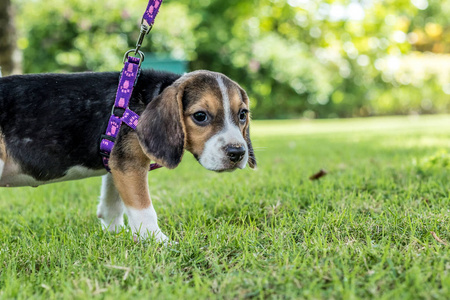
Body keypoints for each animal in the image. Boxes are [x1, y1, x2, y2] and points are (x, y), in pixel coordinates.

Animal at [0, 69, 255, 241]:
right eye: (200, 116)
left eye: (242, 114)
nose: (237, 153)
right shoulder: (130, 164)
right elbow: (144, 209)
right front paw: (160, 243)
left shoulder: (117, 162)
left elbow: (113, 203)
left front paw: (115, 234)